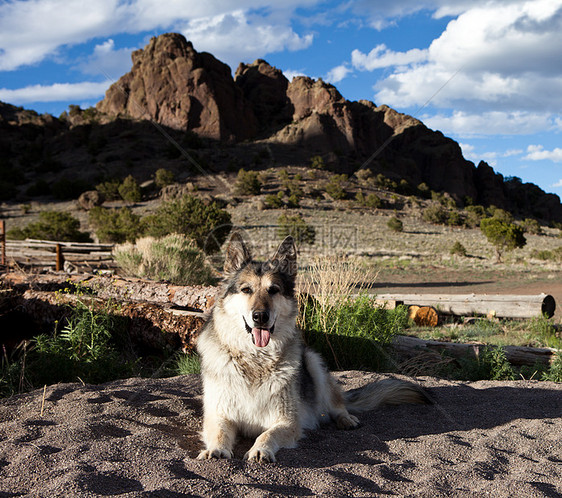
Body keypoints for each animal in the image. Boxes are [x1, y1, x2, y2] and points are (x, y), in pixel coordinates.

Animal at [195, 233, 426, 462]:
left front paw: (260, 450)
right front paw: (216, 449)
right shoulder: (219, 415)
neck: (255, 359)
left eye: (273, 290)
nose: (260, 317)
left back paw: (346, 419)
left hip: (314, 362)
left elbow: (266, 435)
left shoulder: (287, 421)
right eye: (246, 290)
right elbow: (220, 432)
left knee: (336, 405)